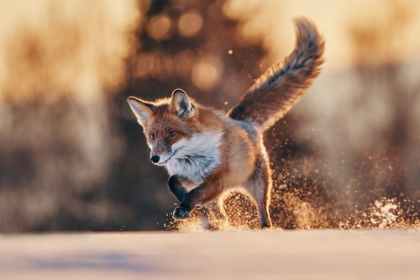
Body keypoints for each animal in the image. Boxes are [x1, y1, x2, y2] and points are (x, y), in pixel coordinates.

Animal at [128, 17, 324, 229]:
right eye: (152, 136)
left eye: (172, 134)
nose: (154, 158)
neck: (192, 158)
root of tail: (242, 121)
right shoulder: (190, 177)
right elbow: (173, 183)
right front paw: (185, 202)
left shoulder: (216, 180)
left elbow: (195, 193)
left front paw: (185, 206)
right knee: (220, 212)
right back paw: (214, 223)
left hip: (258, 187)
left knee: (263, 214)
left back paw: (261, 228)